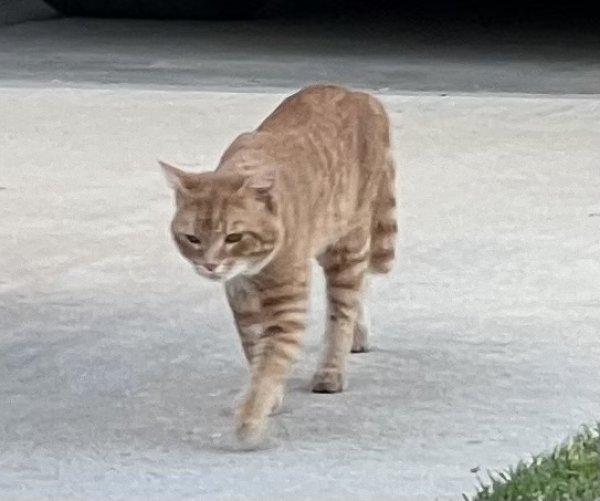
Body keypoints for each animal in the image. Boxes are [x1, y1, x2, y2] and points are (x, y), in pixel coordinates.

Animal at [159, 83, 396, 446]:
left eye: (234, 237)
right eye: (192, 238)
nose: (211, 266)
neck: (251, 269)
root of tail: (357, 92)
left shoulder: (288, 306)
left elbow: (271, 361)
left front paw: (251, 417)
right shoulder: (241, 300)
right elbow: (256, 350)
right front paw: (268, 397)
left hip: (346, 246)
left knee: (342, 309)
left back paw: (331, 369)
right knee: (359, 289)